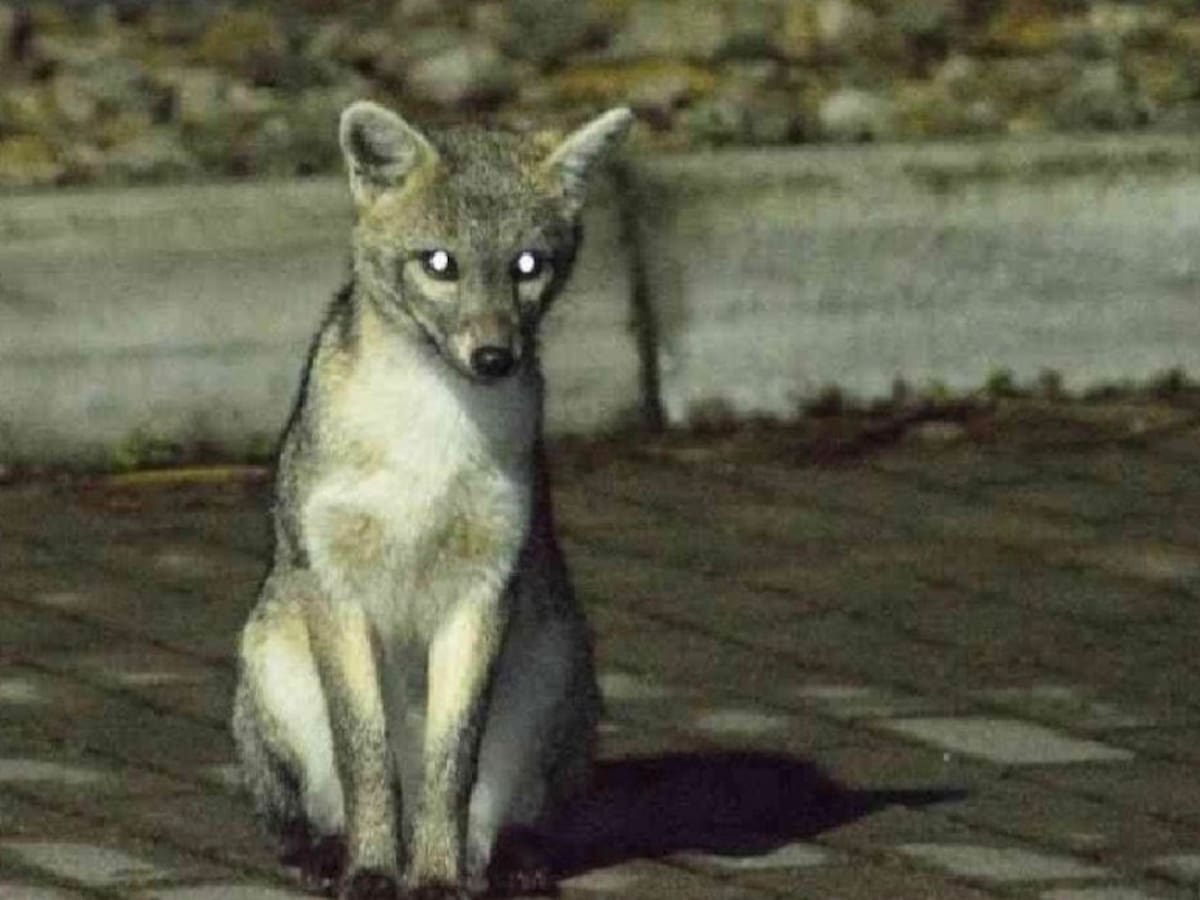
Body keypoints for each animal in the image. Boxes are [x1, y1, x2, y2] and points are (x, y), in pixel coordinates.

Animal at [231, 100, 634, 900]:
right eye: (439, 263)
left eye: (528, 266)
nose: (494, 358)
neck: (430, 443)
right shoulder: (337, 590)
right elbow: (365, 759)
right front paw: (371, 869)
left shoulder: (482, 593)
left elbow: (453, 767)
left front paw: (437, 875)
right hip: (271, 657)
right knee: (302, 811)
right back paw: (326, 851)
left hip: (558, 669)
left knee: (514, 815)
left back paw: (507, 858)